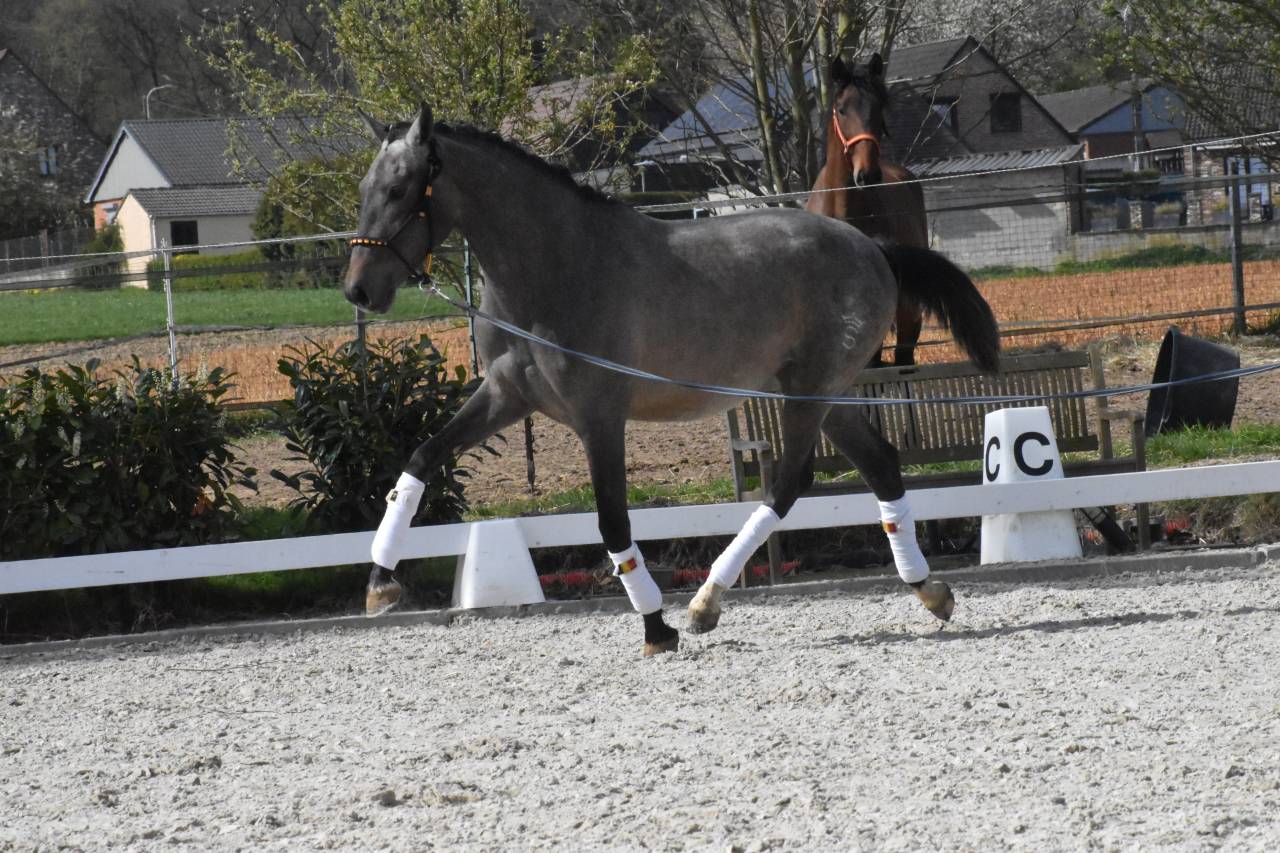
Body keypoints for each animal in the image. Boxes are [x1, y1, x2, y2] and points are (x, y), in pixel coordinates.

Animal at [343, 103, 998, 656]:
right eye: (364, 191)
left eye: (400, 190)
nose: (358, 291)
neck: (556, 268)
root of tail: (873, 248)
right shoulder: (505, 397)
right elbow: (420, 460)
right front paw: (379, 584)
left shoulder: (599, 417)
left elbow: (613, 521)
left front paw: (656, 628)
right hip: (826, 394)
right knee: (880, 463)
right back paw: (929, 591)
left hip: (807, 392)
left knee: (789, 484)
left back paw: (706, 605)